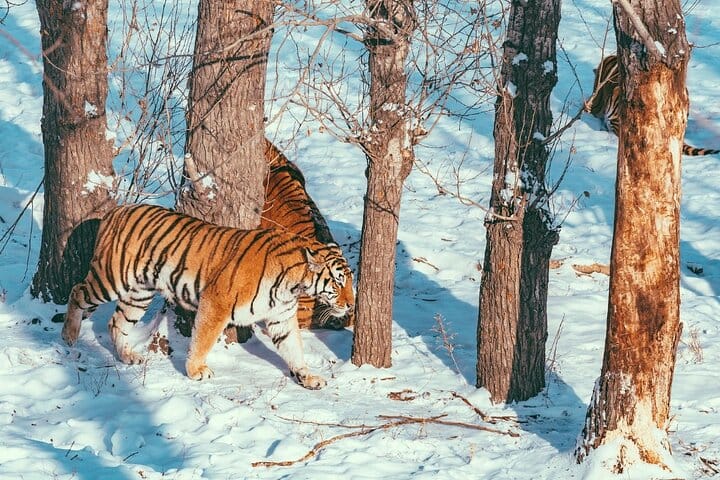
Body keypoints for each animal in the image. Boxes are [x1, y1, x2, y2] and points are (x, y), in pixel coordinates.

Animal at [61, 204, 354, 389]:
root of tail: (116, 210)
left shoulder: (281, 317)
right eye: (339, 281)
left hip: (139, 292)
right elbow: (203, 340)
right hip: (111, 279)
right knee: (77, 291)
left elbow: (293, 348)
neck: (294, 285)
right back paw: (69, 336)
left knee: (117, 322)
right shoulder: (216, 303)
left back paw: (127, 356)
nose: (351, 305)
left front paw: (307, 377)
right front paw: (196, 371)